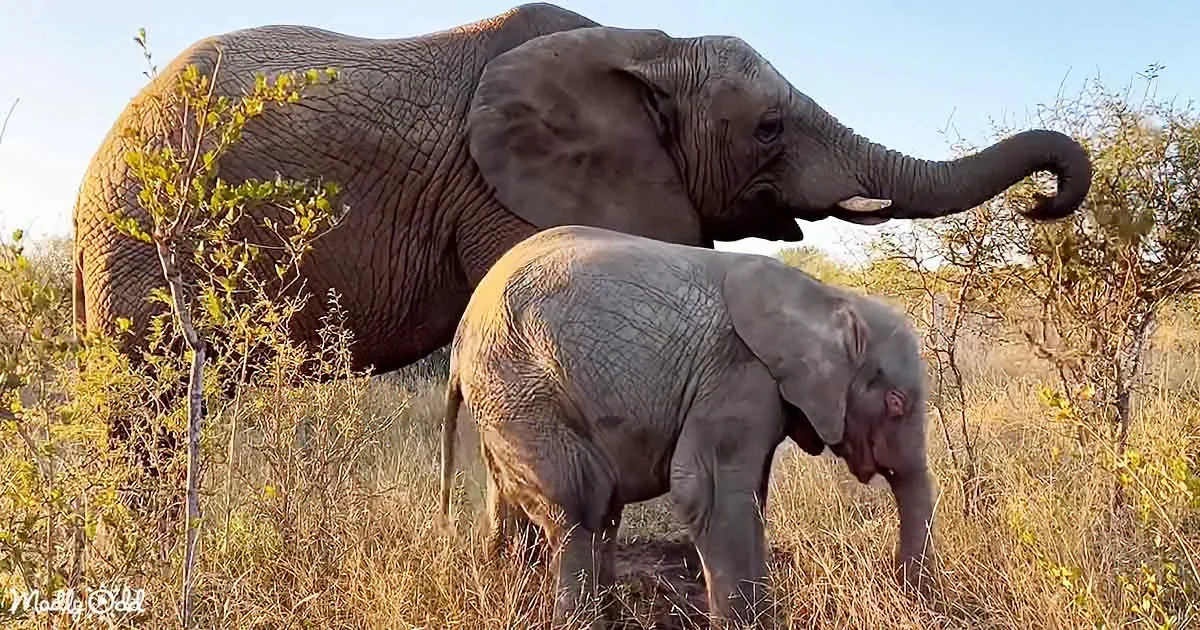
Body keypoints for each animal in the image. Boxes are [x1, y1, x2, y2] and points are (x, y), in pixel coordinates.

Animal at [438, 225, 937, 629]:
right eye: (895, 404)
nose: (909, 596)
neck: (829, 298)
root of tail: (460, 341)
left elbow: (750, 497)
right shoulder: (736, 374)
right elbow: (706, 492)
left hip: (511, 398)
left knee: (564, 508)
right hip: (523, 384)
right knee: (580, 505)